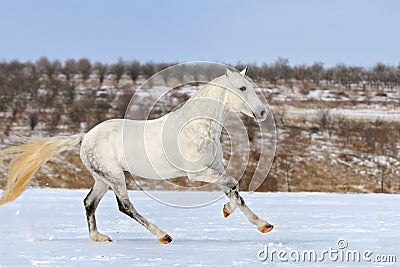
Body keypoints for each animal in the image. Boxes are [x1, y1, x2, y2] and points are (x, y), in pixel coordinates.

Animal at [0, 67, 274, 245]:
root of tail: (85, 137)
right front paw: (229, 211)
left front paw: (263, 224)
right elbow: (233, 184)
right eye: (242, 88)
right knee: (125, 206)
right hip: (114, 177)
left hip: (103, 179)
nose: (262, 113)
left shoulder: (214, 169)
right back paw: (163, 235)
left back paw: (98, 237)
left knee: (89, 203)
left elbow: (234, 190)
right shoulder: (196, 174)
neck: (197, 127)